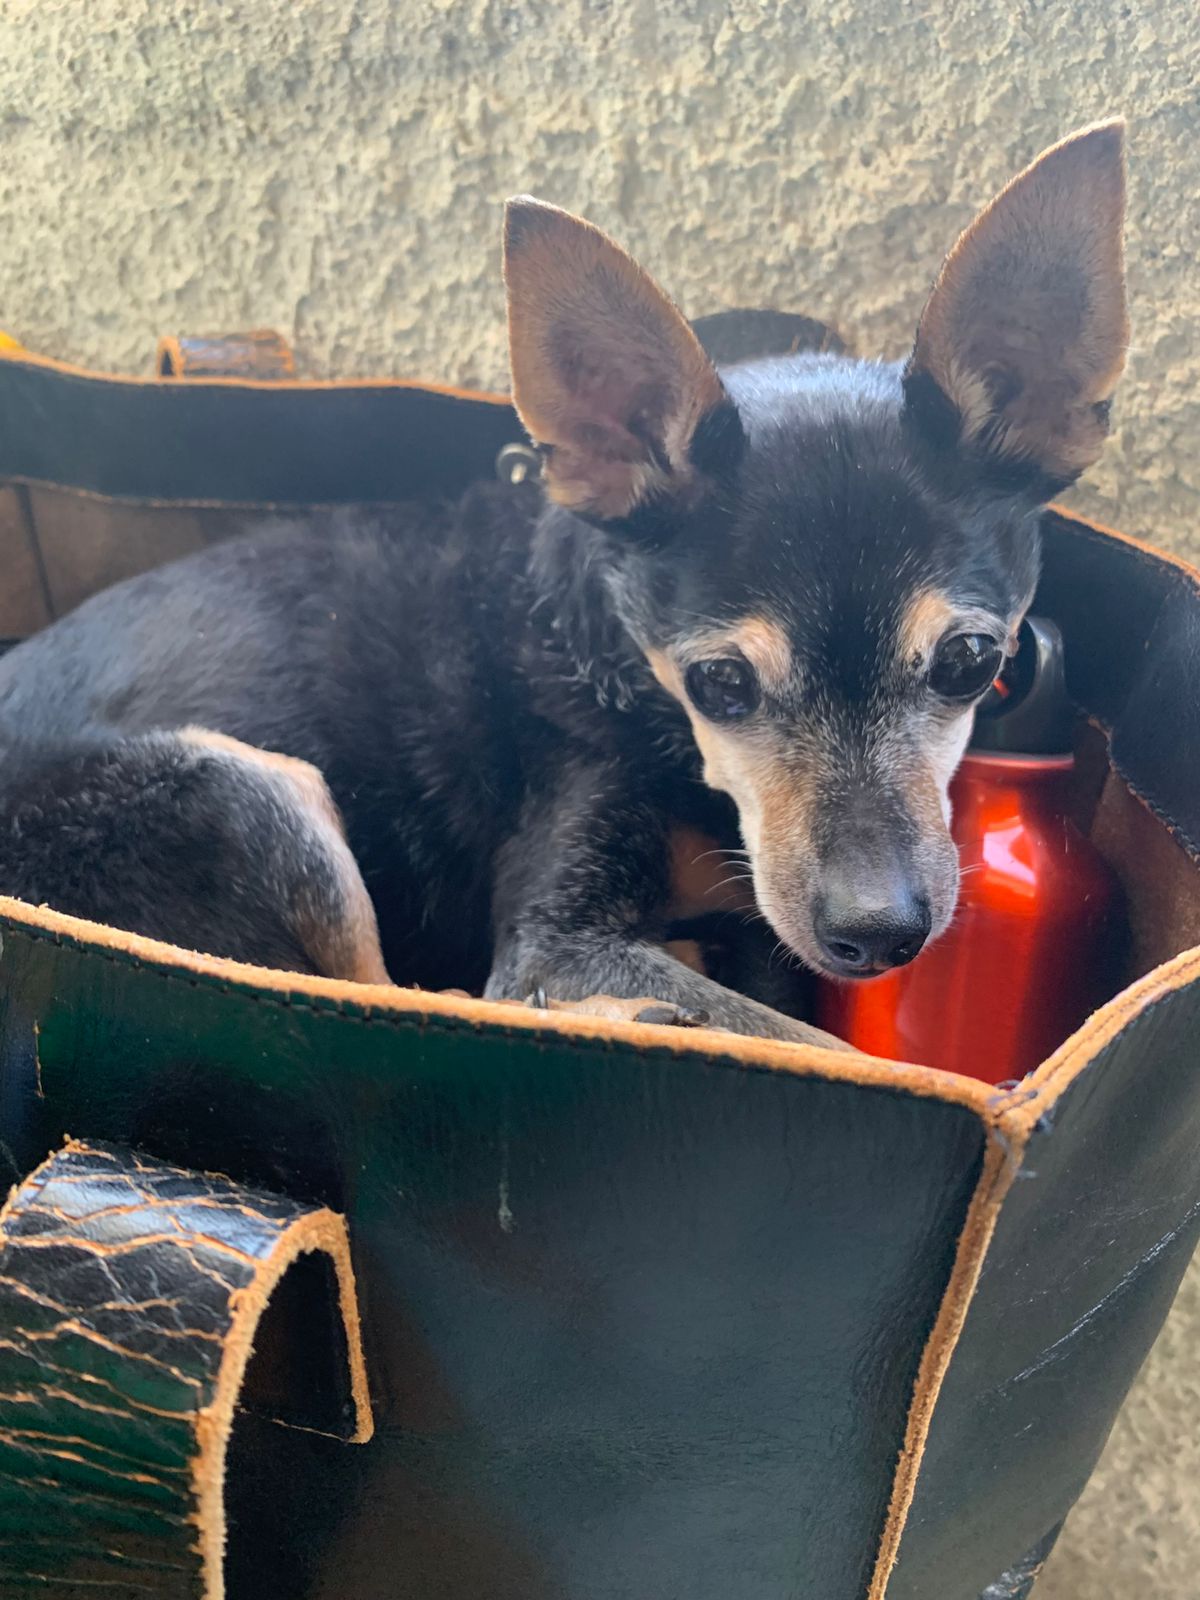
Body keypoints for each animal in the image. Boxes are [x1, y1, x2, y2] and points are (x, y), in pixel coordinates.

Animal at [0, 122, 1127, 1047]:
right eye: (720, 684)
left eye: (973, 664)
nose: (878, 932)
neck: (622, 672)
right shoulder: (553, 948)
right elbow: (813, 1043)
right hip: (250, 794)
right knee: (395, 995)